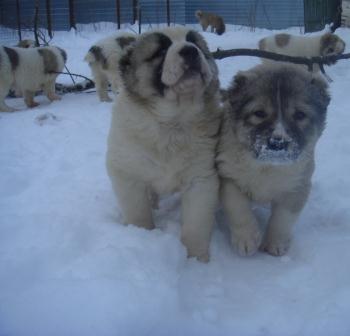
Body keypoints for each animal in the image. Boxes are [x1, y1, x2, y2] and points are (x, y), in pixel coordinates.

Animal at [105, 27, 223, 262]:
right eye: (160, 51)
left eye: (195, 43)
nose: (190, 51)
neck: (172, 122)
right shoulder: (127, 173)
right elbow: (138, 212)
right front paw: (142, 236)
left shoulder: (201, 179)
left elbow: (196, 224)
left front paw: (196, 260)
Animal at [217, 63, 330, 256]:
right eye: (259, 113)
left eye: (300, 115)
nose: (278, 142)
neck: (267, 166)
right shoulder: (227, 175)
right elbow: (237, 206)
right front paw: (247, 238)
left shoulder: (297, 185)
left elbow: (283, 217)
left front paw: (275, 243)